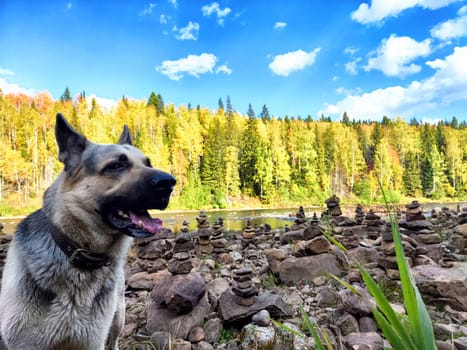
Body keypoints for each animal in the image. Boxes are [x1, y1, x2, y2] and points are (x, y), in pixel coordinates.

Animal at [0, 113, 176, 348]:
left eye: (148, 163)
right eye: (116, 165)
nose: (170, 183)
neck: (79, 254)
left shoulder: (92, 340)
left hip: (117, 319)